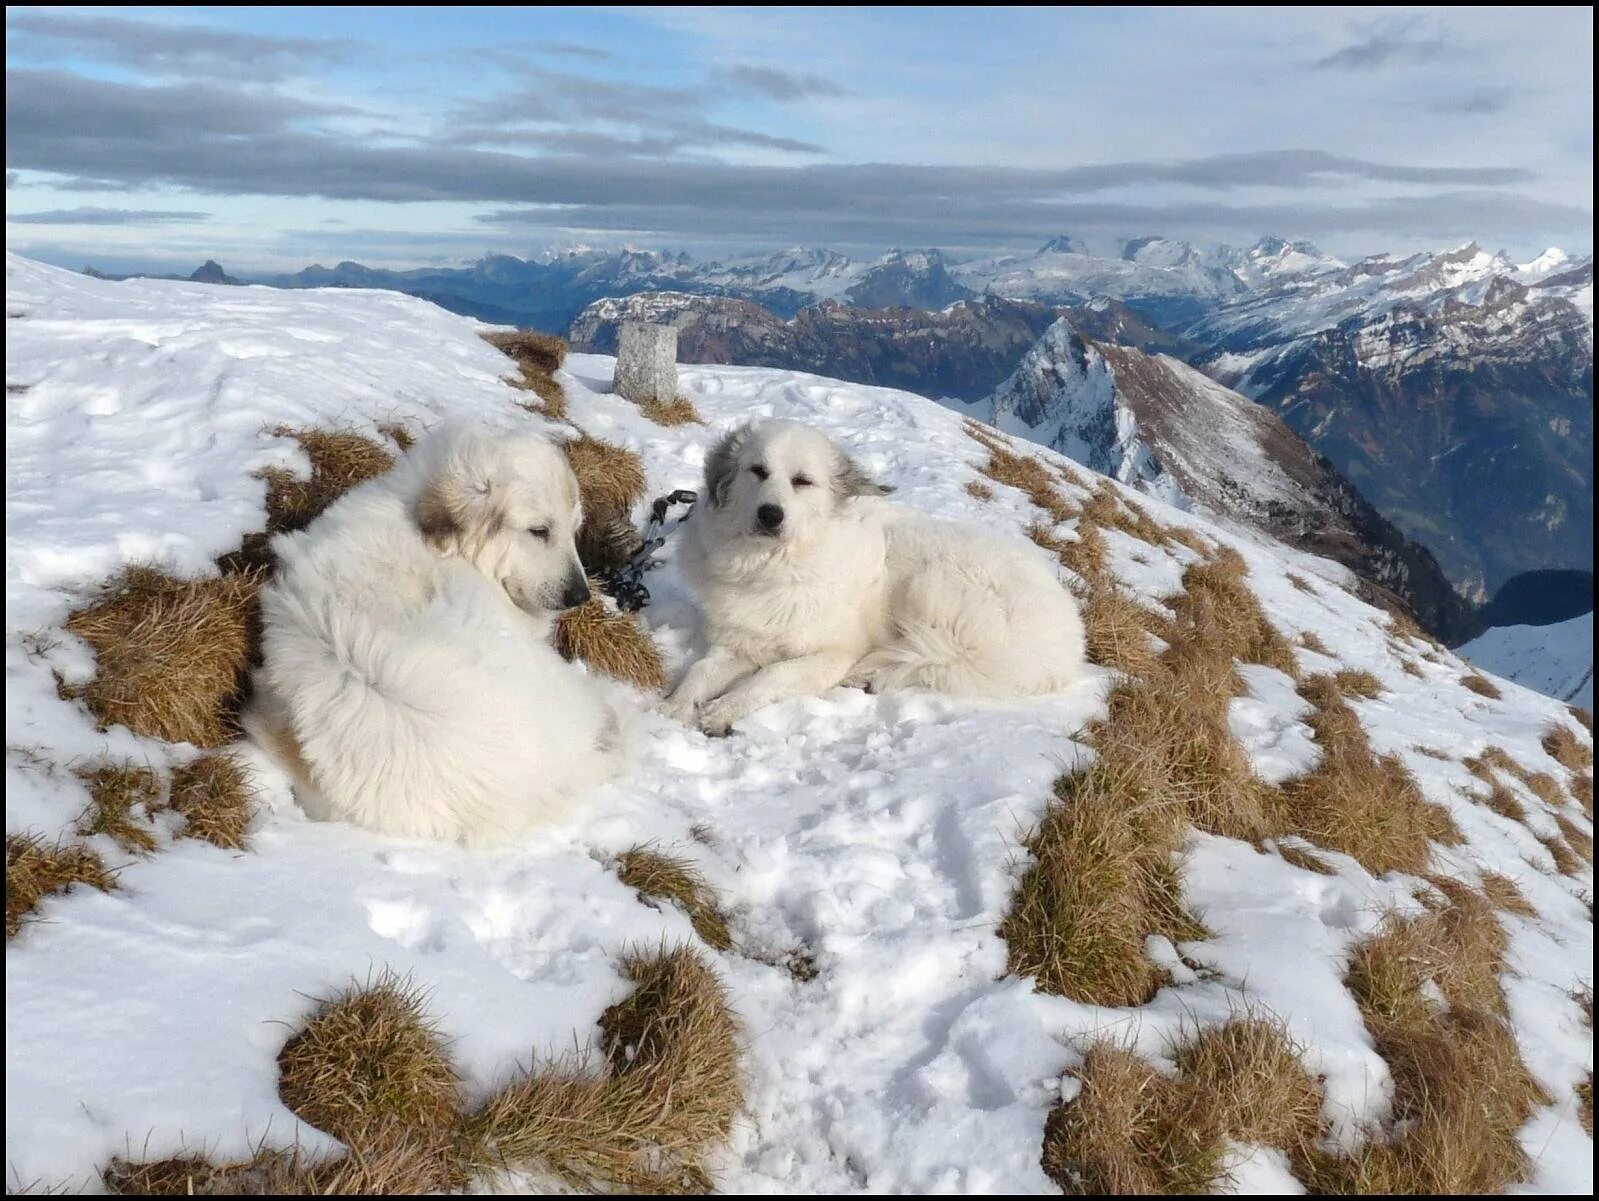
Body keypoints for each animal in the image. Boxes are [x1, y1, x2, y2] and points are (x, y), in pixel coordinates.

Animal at [661, 422, 1087, 742]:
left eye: (802, 482)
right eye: (757, 471)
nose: (770, 515)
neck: (769, 566)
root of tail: (1069, 638)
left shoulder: (833, 652)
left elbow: (771, 675)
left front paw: (722, 710)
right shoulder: (737, 643)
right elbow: (700, 673)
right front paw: (673, 707)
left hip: (933, 588)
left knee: (939, 658)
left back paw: (868, 675)